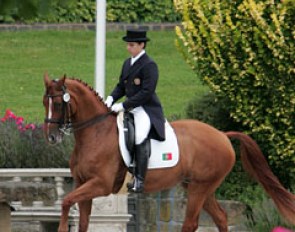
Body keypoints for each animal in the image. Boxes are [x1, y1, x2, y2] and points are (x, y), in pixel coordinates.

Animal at [43, 75, 295, 232]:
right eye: (45, 102)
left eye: (59, 104)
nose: (51, 137)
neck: (95, 133)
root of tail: (222, 135)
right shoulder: (82, 183)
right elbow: (81, 219)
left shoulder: (100, 184)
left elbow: (66, 201)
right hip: (201, 187)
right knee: (221, 217)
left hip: (199, 188)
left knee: (191, 224)